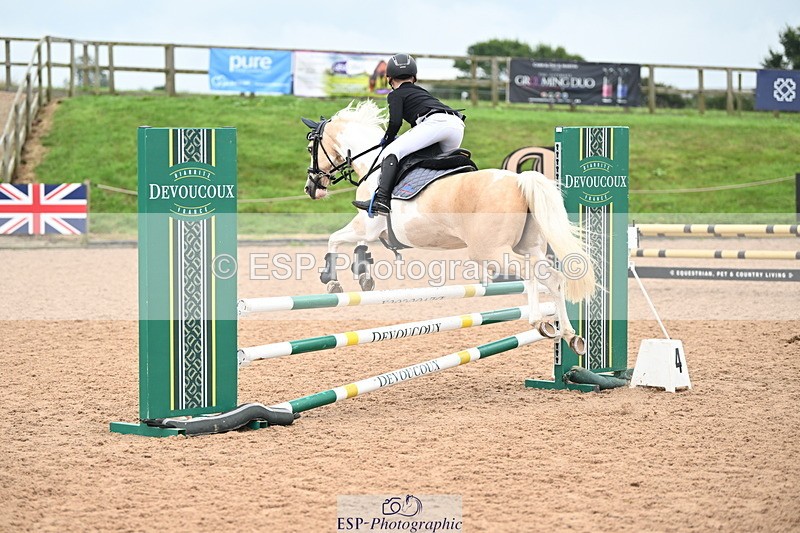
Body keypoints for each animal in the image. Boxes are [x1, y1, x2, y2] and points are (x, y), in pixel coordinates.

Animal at [301, 100, 596, 353]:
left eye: (311, 148)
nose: (311, 188)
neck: (374, 164)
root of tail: (519, 181)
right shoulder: (374, 230)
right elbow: (357, 246)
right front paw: (363, 272)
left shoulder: (366, 225)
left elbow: (334, 239)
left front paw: (331, 281)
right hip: (529, 247)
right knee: (548, 277)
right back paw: (567, 333)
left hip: (490, 253)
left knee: (537, 275)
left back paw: (541, 322)